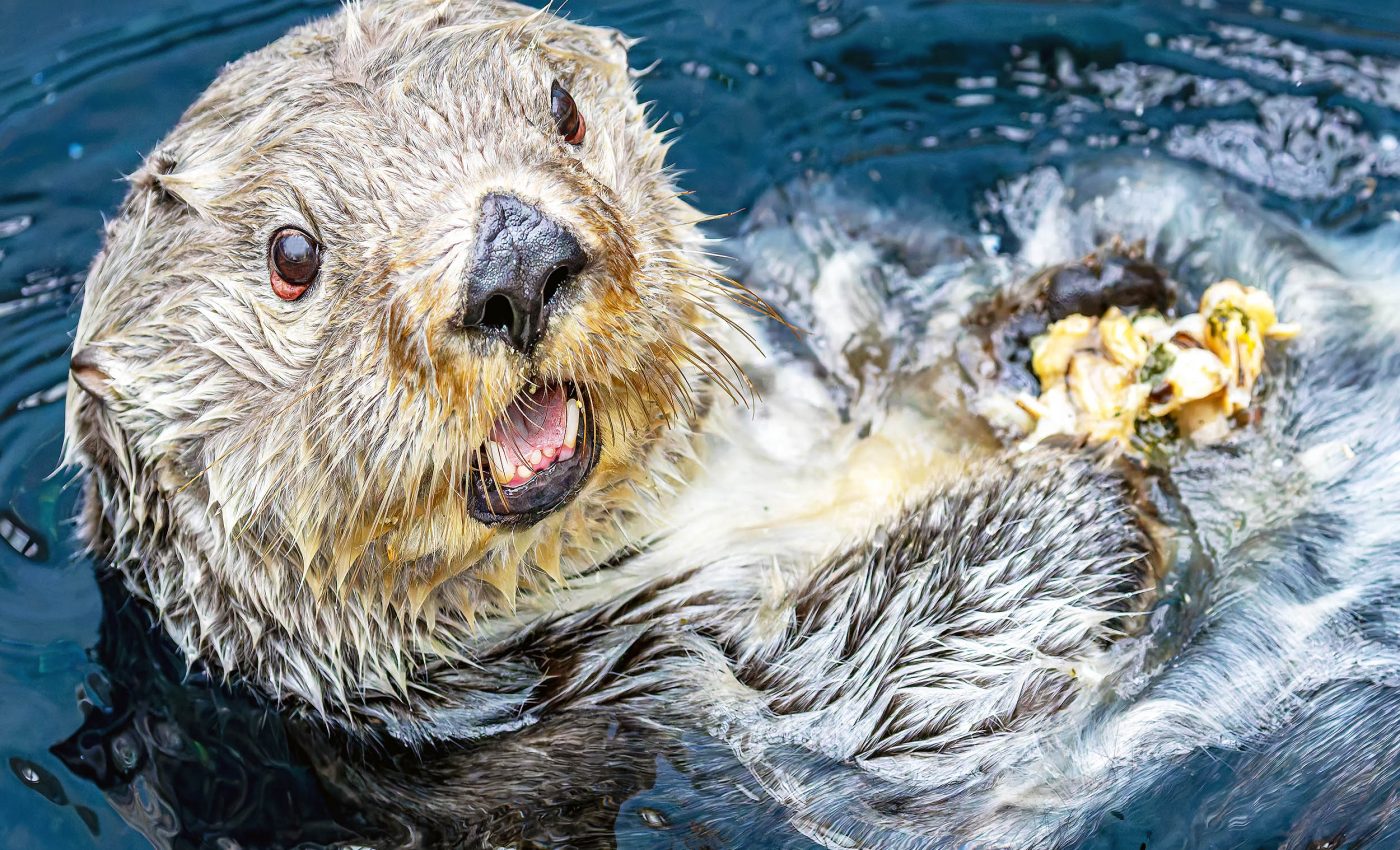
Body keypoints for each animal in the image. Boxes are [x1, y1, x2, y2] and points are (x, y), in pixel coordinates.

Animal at [61, 1, 1400, 847]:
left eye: (561, 110)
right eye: (292, 256)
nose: (518, 259)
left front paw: (1083, 307)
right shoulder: (626, 694)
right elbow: (894, 697)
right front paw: (1066, 476)